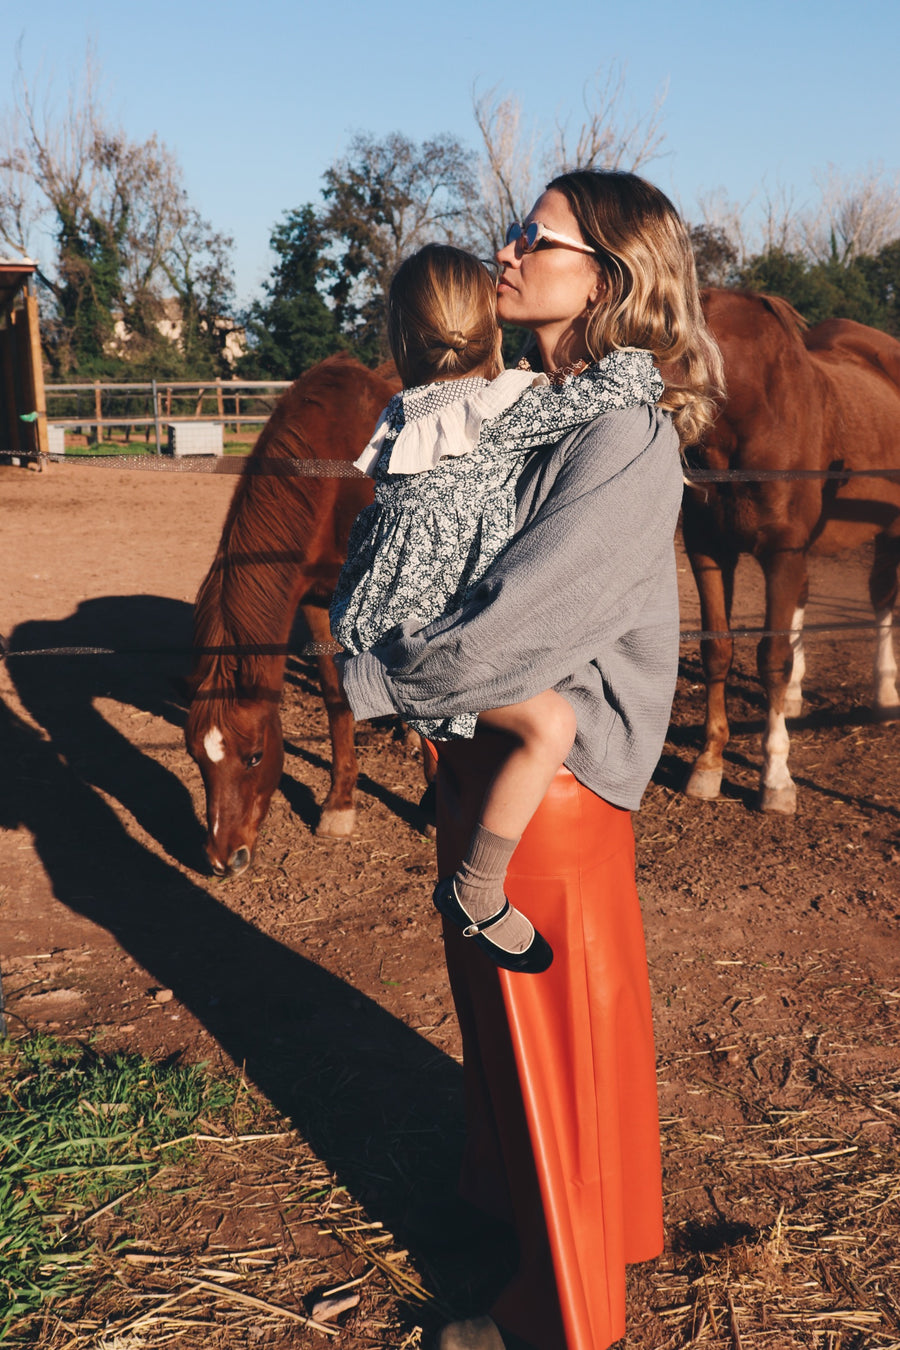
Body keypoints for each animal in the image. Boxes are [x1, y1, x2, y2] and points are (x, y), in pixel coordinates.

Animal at [183, 351, 396, 874]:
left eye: (255, 757)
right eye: (196, 758)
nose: (223, 858)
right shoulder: (317, 601)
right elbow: (336, 696)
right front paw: (340, 804)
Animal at [682, 290, 900, 810]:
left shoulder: (782, 551)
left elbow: (772, 658)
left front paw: (776, 777)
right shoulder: (709, 552)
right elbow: (717, 650)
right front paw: (708, 764)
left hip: (890, 528)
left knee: (882, 598)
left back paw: (885, 693)